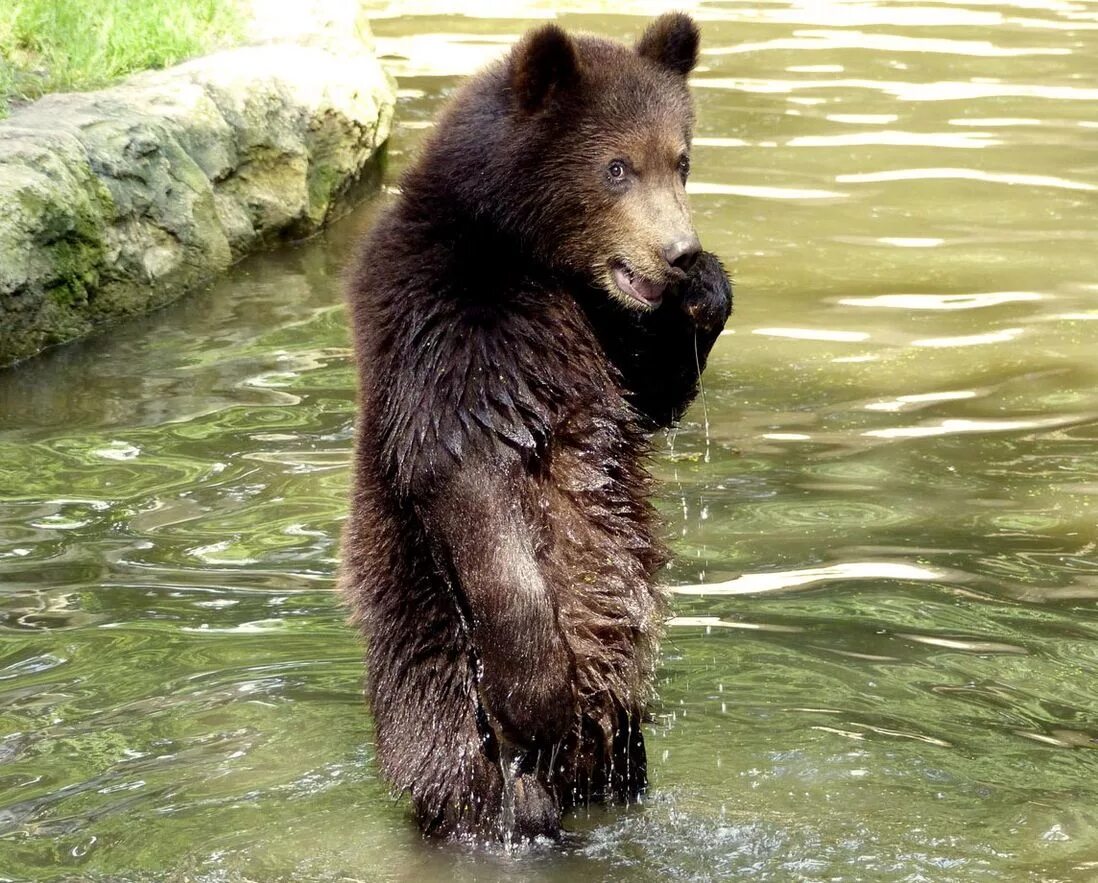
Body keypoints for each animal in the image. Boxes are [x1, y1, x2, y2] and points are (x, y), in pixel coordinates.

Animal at [338, 12, 733, 843]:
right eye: (616, 168)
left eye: (680, 159)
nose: (677, 252)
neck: (528, 258)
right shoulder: (452, 332)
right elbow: (474, 489)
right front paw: (540, 696)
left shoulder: (603, 336)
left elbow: (653, 395)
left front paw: (708, 290)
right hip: (441, 699)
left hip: (624, 748)